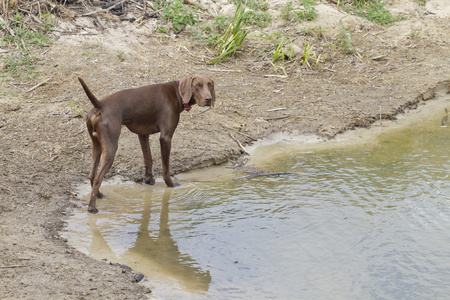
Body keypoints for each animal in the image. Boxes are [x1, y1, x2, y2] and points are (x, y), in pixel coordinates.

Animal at [78, 75, 215, 213]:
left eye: (210, 85)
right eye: (197, 85)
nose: (209, 99)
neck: (177, 92)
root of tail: (99, 105)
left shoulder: (143, 134)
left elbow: (148, 159)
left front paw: (149, 180)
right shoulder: (165, 137)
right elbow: (166, 168)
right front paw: (171, 184)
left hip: (97, 145)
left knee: (92, 175)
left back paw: (99, 194)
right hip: (111, 147)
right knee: (98, 178)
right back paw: (92, 207)